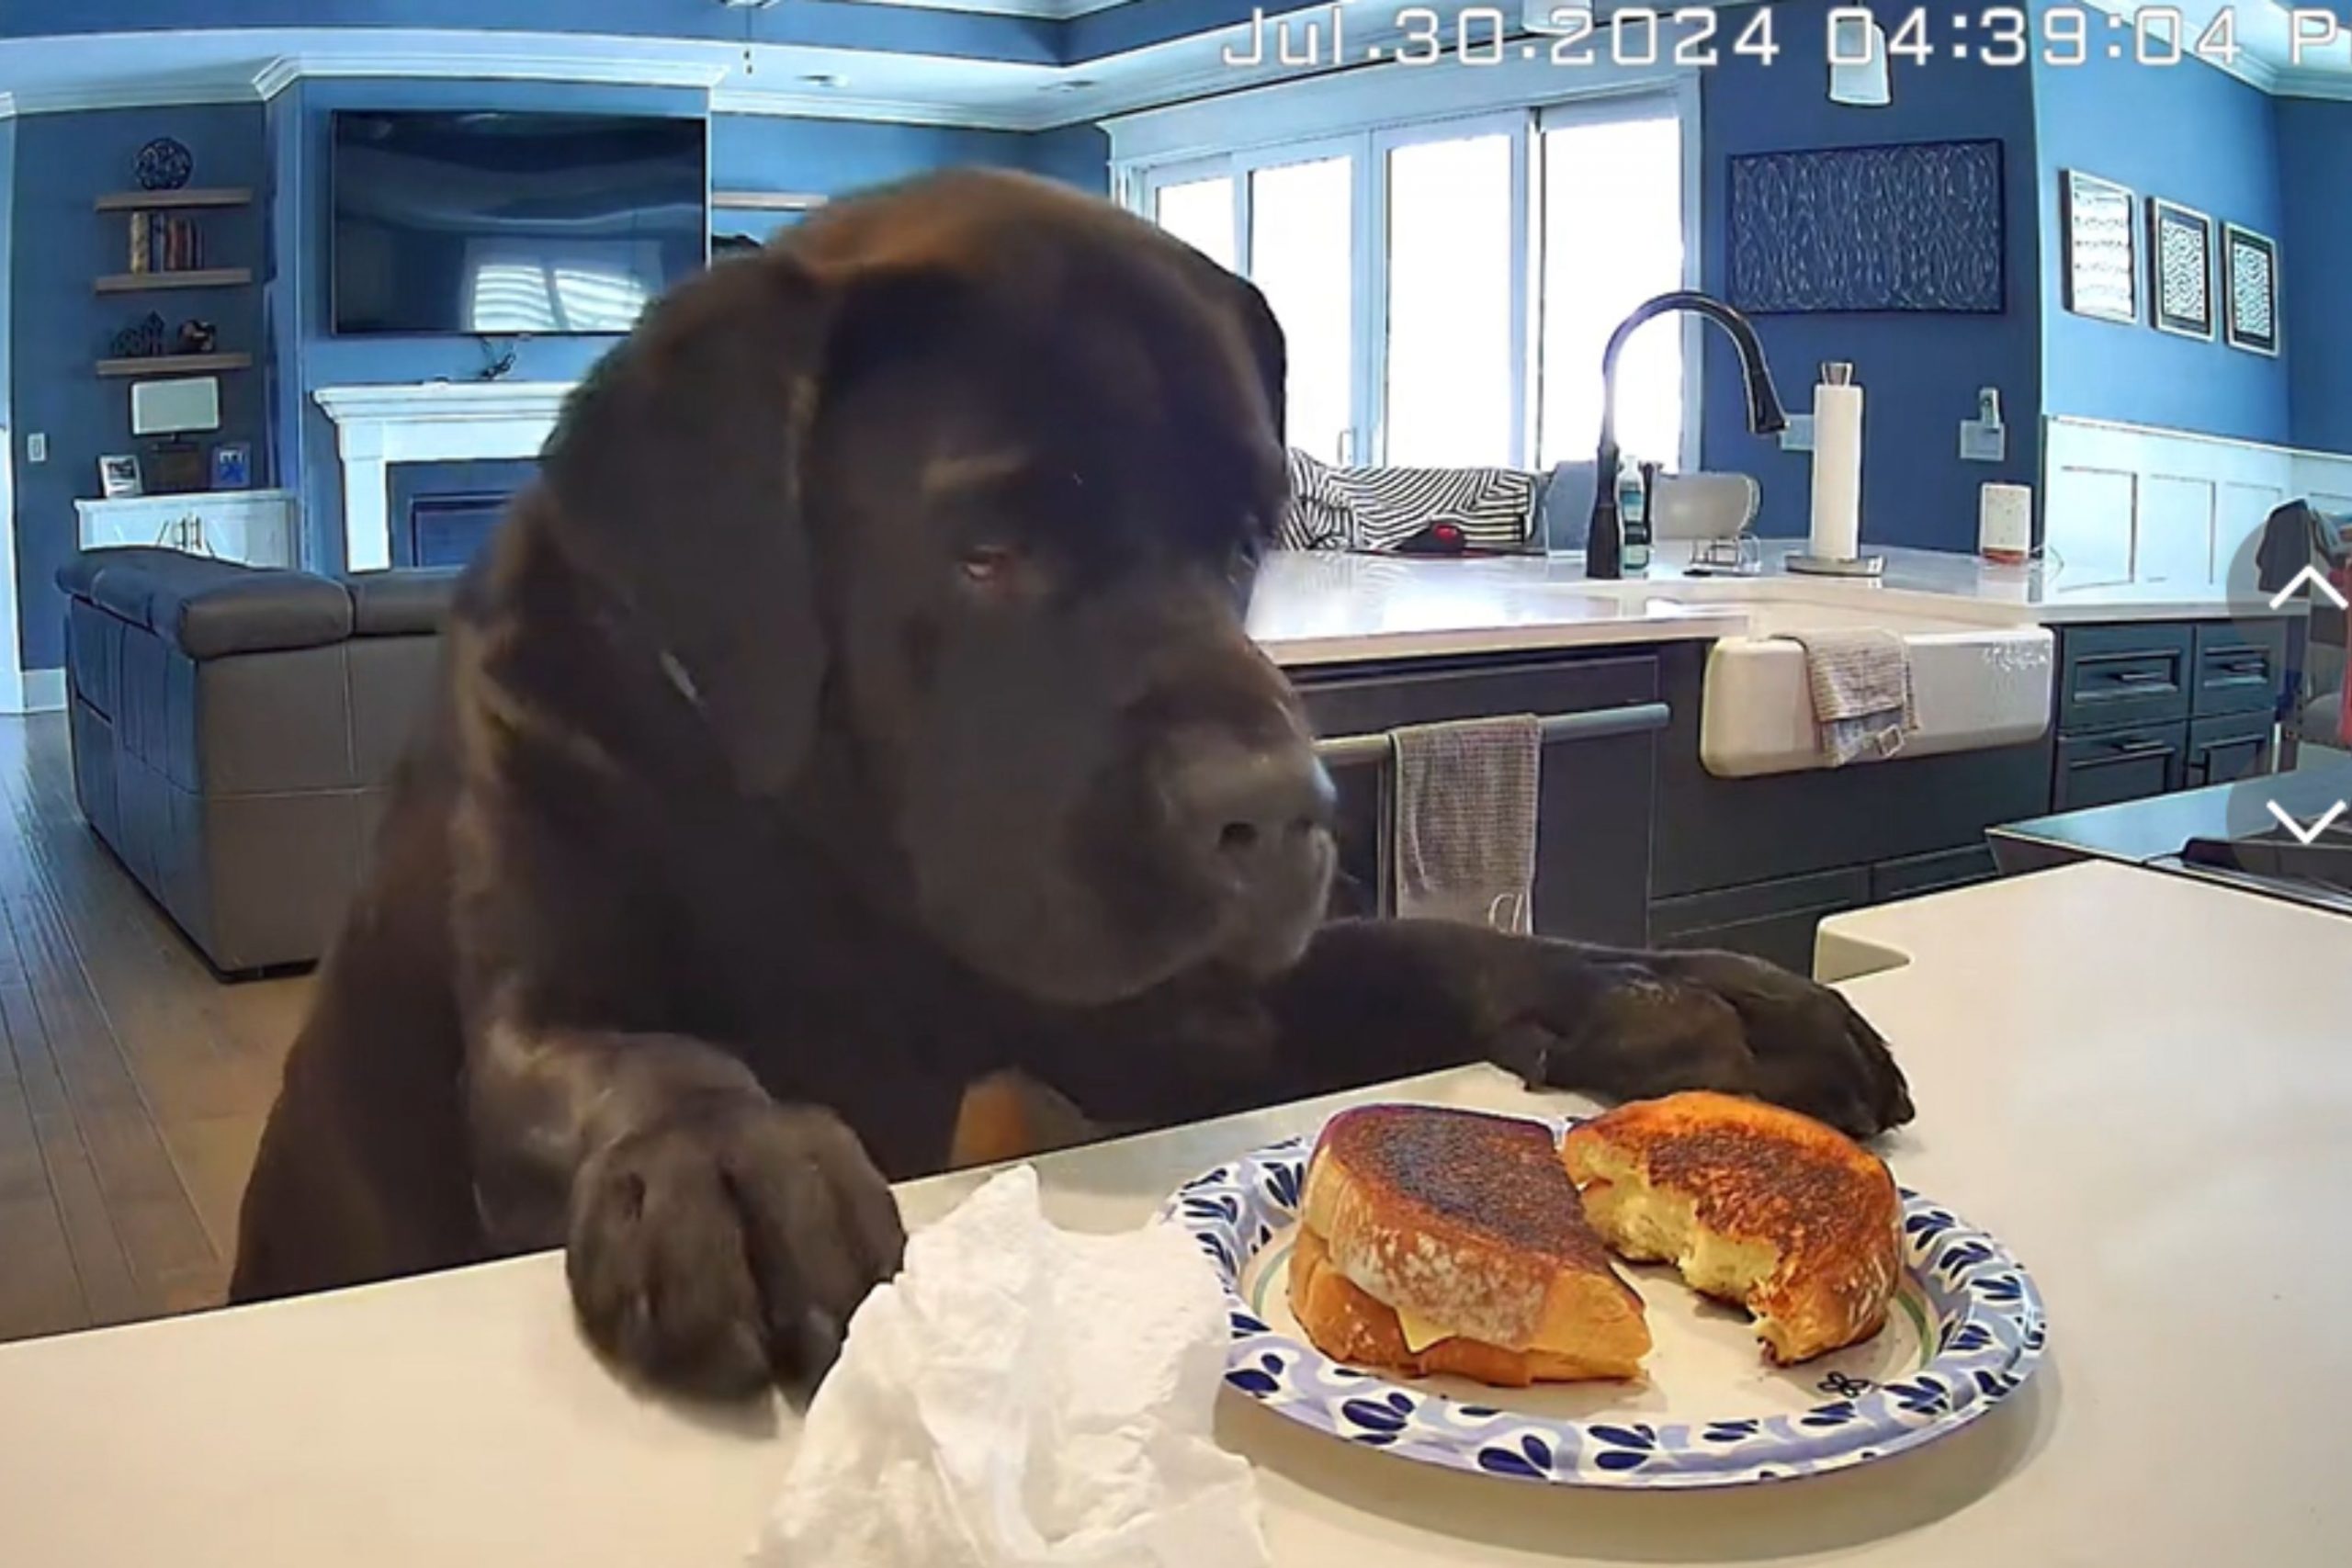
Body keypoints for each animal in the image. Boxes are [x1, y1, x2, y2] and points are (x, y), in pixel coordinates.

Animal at [229, 171, 1900, 1401]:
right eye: (988, 550)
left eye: (1245, 539)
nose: (1289, 812)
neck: (817, 856)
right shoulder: (533, 1000)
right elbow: (632, 1057)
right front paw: (734, 1157)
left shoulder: (1176, 1016)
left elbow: (1436, 944)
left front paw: (1707, 994)